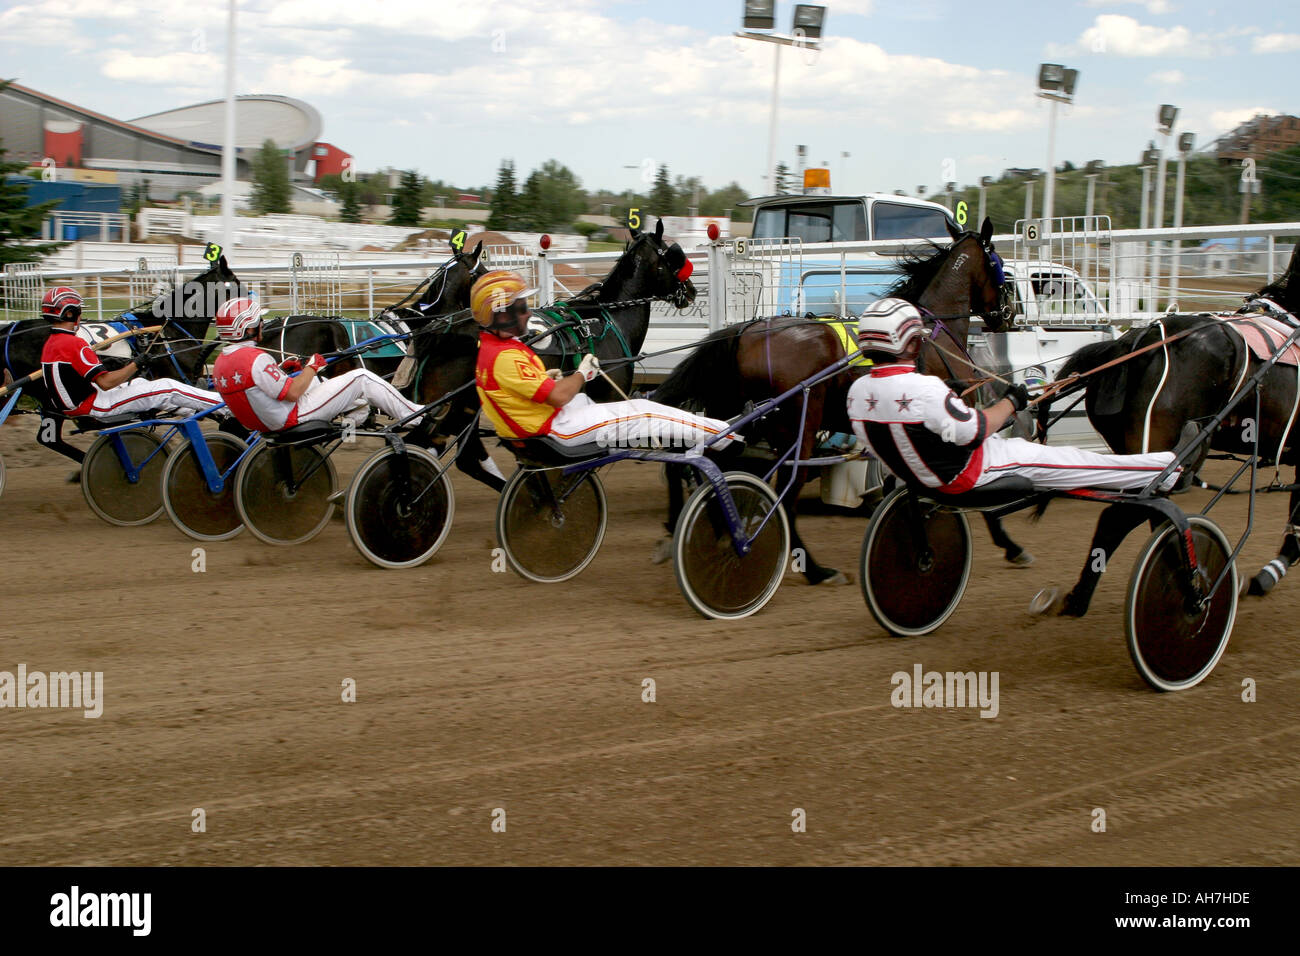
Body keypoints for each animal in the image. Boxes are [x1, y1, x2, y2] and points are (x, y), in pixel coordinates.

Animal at [416, 218, 702, 494]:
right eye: (675, 254)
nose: (691, 290)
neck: (607, 320)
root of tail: (444, 329)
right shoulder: (606, 401)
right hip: (457, 410)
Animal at [655, 217, 1019, 587]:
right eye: (999, 265)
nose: (1009, 313)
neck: (930, 331)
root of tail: (747, 331)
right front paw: (1008, 543)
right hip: (796, 427)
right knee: (784, 491)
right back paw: (812, 568)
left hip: (735, 415)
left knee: (705, 459)